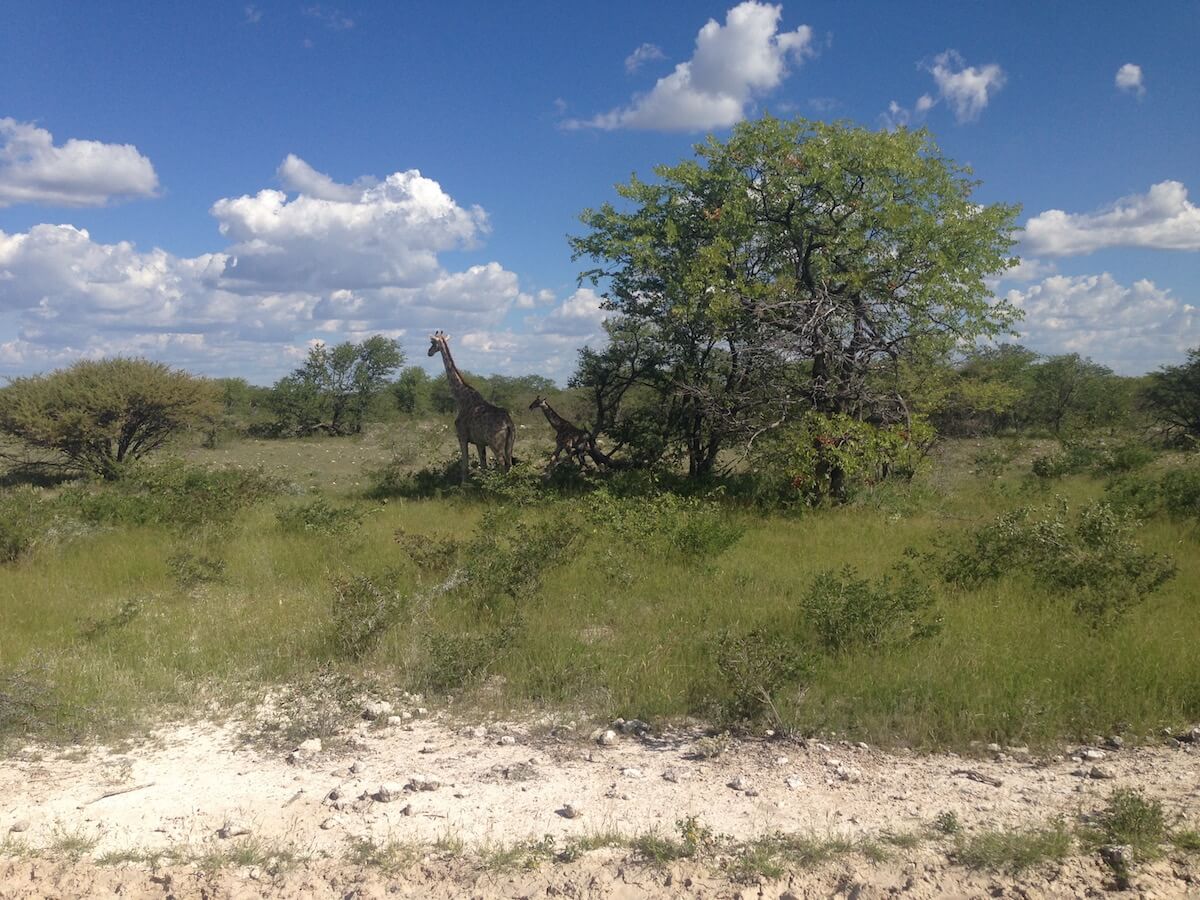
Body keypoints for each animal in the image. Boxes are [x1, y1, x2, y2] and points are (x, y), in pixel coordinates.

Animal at [429, 331, 513, 482]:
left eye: (432, 343)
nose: (429, 352)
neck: (462, 398)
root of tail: (508, 424)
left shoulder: (462, 436)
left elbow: (465, 465)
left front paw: (464, 485)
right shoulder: (479, 442)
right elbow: (483, 466)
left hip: (496, 444)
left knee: (503, 464)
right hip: (510, 444)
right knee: (510, 464)